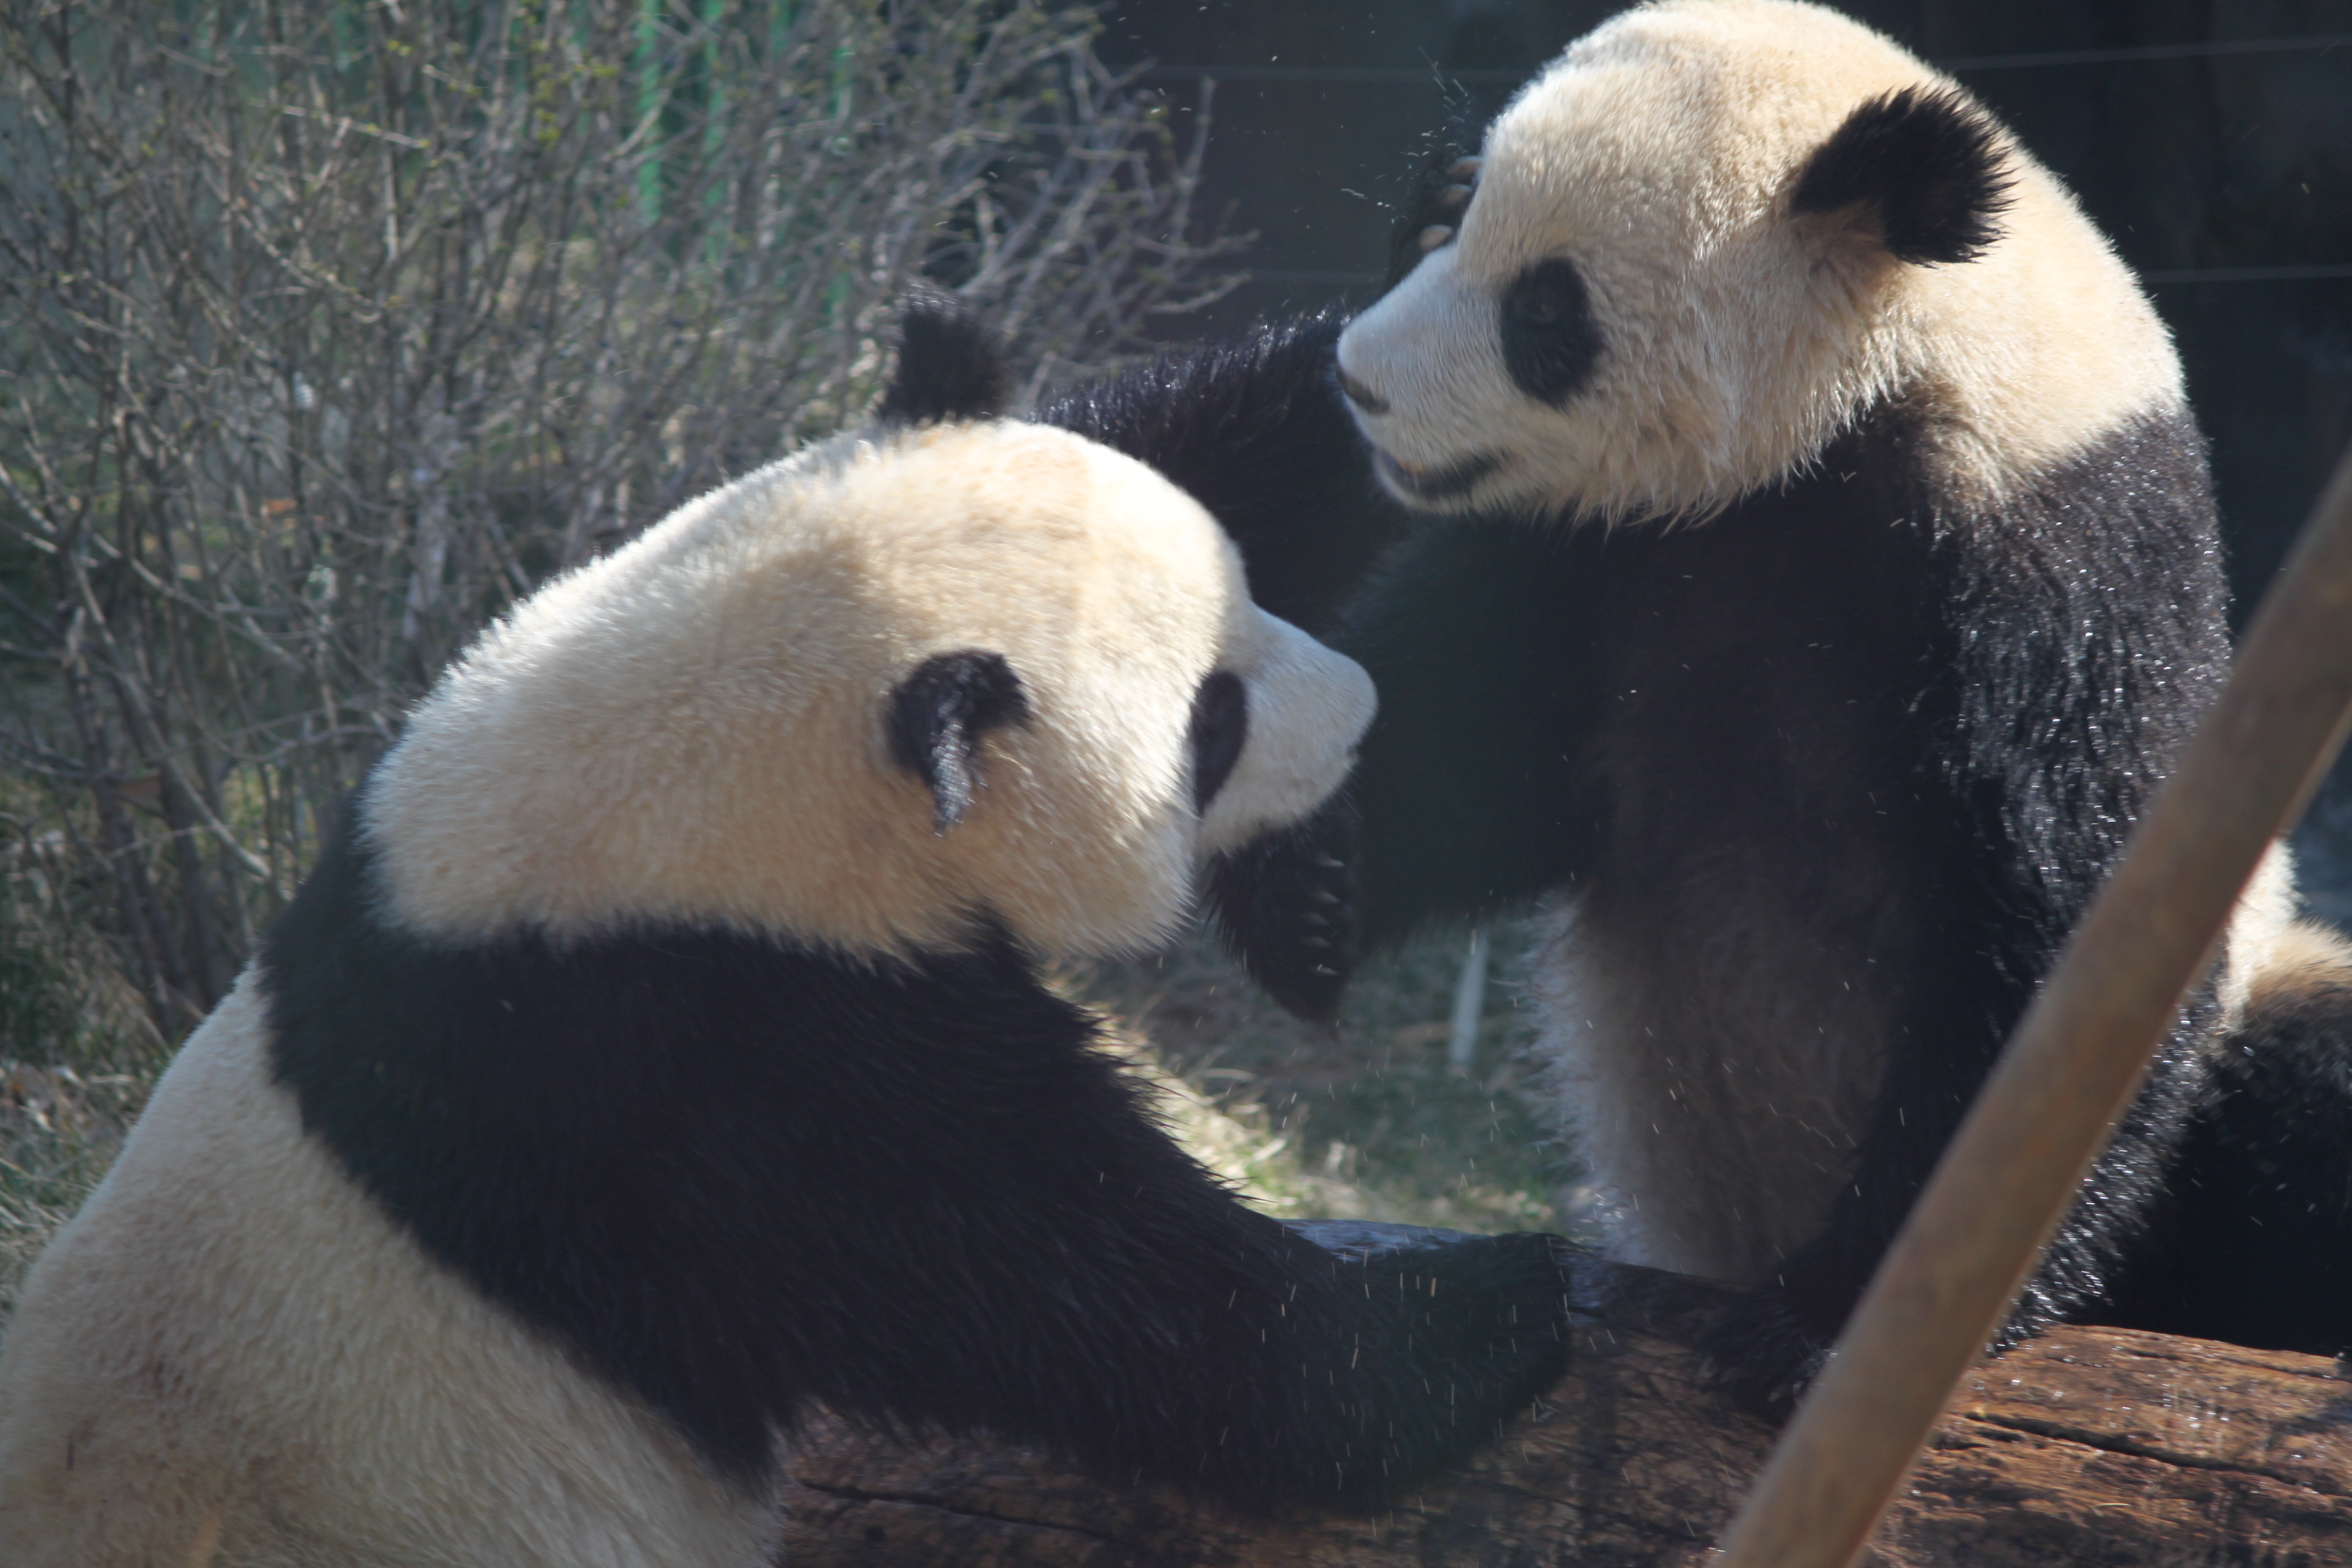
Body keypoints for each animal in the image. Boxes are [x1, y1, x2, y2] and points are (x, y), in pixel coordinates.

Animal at [0, 312, 1580, 1561]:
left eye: (1246, 585)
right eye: (1214, 721)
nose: (1359, 709)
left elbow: (1215, 430)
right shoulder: (712, 1072)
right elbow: (1083, 1292)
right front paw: (1494, 1298)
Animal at [1044, 0, 2352, 1420]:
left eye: (1544, 311)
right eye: (1444, 223)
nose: (1358, 385)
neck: (1875, 391)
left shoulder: (2048, 563)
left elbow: (2061, 941)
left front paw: (1835, 1326)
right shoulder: (1606, 554)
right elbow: (1477, 744)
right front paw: (1311, 880)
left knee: (2304, 1095)